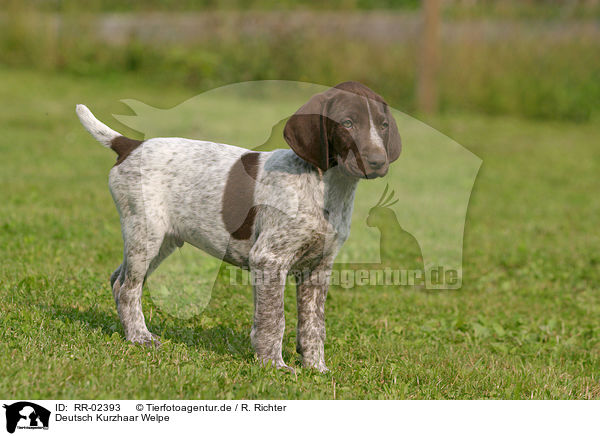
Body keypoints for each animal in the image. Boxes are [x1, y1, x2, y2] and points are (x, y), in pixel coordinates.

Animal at [77, 81, 400, 372]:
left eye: (383, 125)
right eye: (347, 123)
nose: (377, 161)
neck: (327, 186)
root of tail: (131, 146)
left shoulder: (318, 267)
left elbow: (313, 325)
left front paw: (316, 368)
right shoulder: (269, 259)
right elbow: (274, 319)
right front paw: (273, 365)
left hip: (162, 240)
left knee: (119, 280)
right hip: (146, 234)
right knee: (127, 288)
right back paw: (139, 337)